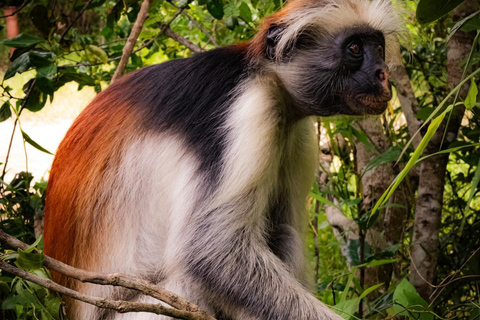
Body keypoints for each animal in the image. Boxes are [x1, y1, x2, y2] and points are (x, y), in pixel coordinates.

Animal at [43, 0, 404, 318]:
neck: (266, 76)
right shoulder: (246, 110)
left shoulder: (293, 130)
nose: (383, 74)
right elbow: (212, 254)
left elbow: (280, 227)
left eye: (378, 47)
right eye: (354, 49)